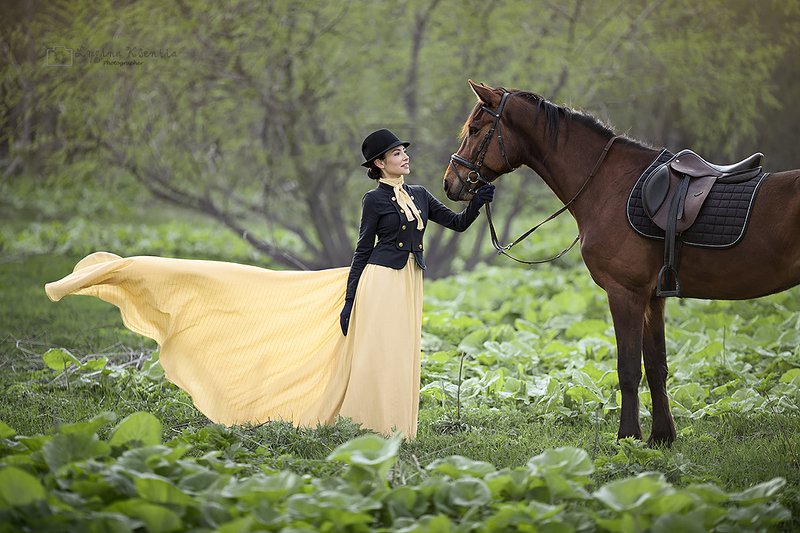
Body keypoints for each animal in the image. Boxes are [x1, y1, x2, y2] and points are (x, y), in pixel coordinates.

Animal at [443, 80, 800, 446]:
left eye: (475, 129)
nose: (450, 182)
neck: (608, 184)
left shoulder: (624, 293)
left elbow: (628, 369)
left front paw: (627, 437)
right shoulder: (653, 299)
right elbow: (657, 368)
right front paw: (661, 437)